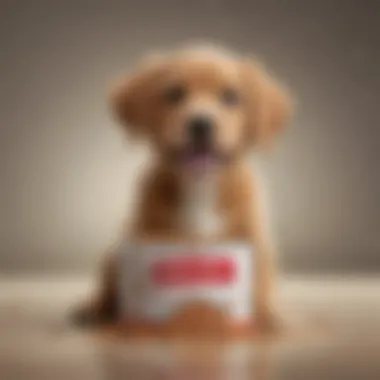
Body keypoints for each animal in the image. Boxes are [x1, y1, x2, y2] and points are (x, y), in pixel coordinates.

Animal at [75, 44, 292, 332]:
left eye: (231, 97)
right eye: (174, 93)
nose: (201, 124)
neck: (200, 185)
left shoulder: (252, 236)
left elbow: (261, 279)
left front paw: (268, 316)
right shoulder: (149, 234)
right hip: (115, 253)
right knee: (108, 285)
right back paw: (92, 308)